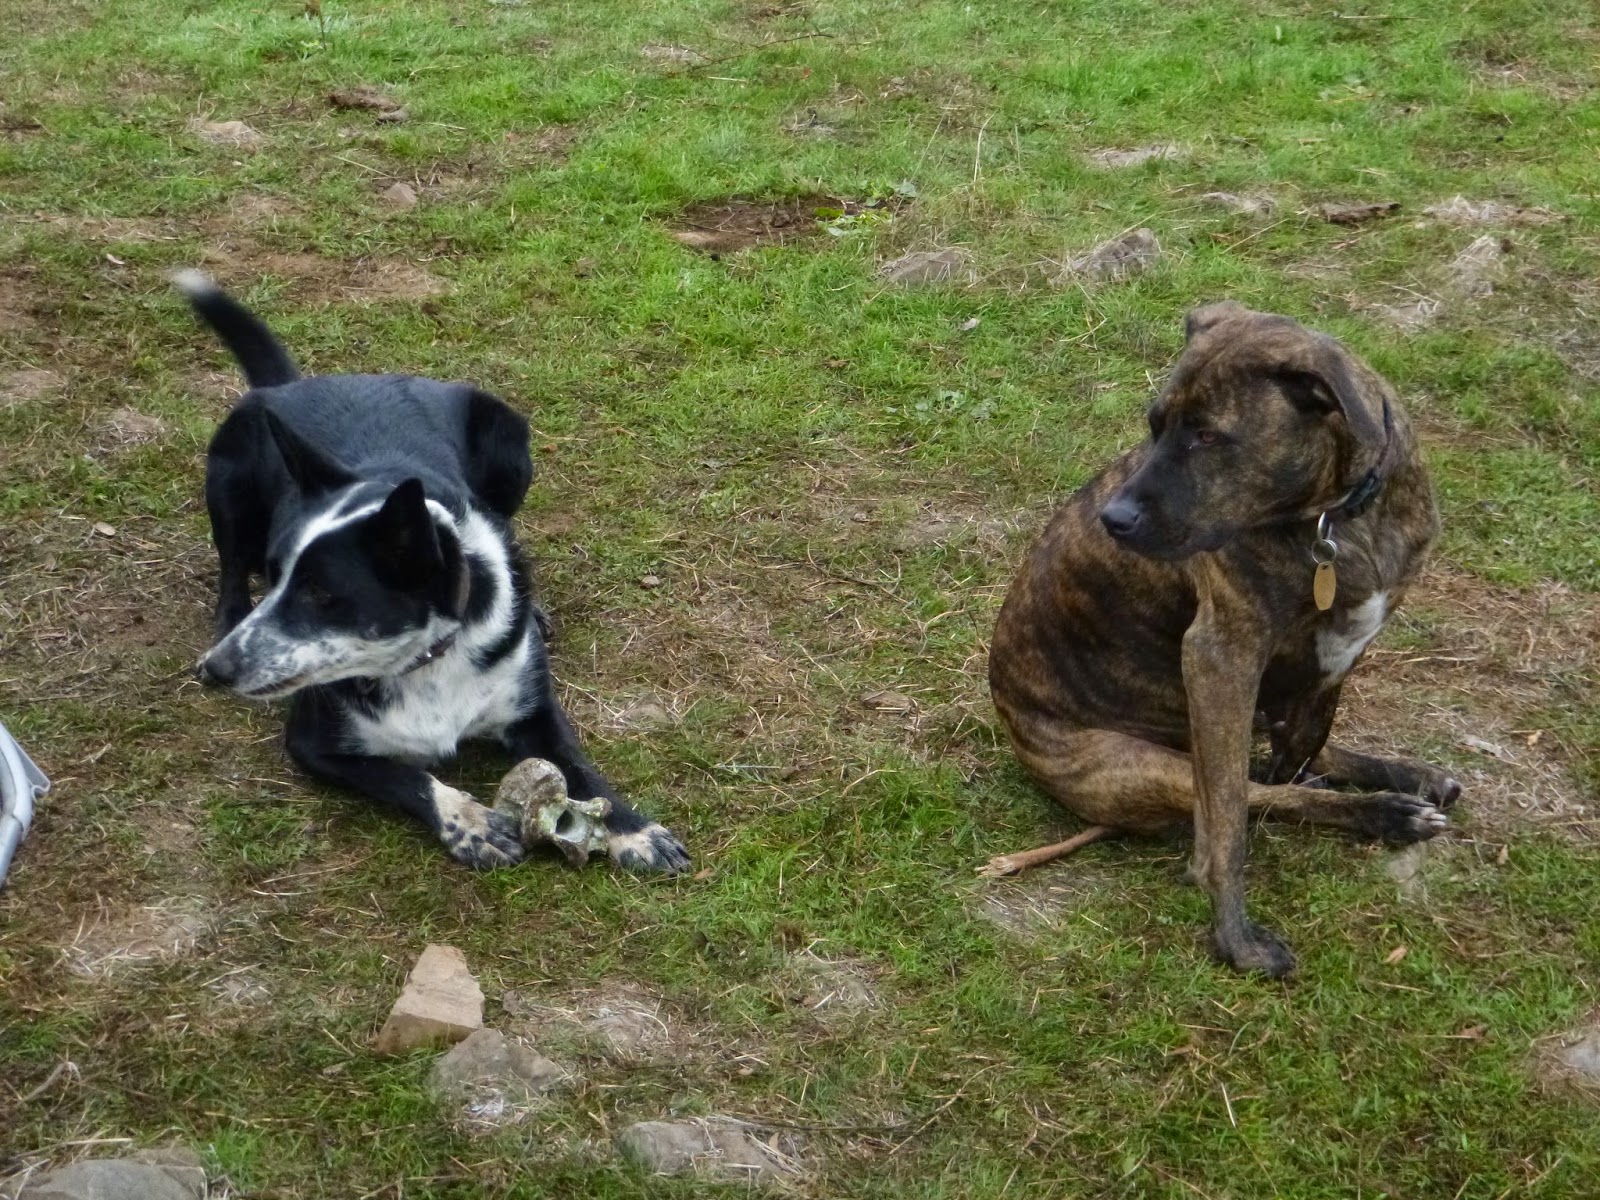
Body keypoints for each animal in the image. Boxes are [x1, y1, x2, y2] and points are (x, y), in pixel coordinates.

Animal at [176, 271, 689, 875]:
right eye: (279, 576)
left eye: (321, 593)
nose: (220, 669)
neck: (427, 658)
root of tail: (295, 384)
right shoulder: (312, 744)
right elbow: (406, 776)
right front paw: (468, 823)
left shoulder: (535, 711)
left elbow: (582, 772)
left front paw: (634, 830)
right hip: (228, 478)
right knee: (231, 567)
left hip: (509, 439)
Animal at [988, 302, 1460, 977]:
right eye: (1154, 426)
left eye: (1209, 437)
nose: (1114, 520)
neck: (1337, 517)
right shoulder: (1220, 659)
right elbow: (1231, 822)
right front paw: (1235, 937)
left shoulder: (1336, 653)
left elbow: (1308, 744)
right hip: (1140, 761)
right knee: (1246, 791)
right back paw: (1385, 811)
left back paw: (1406, 780)